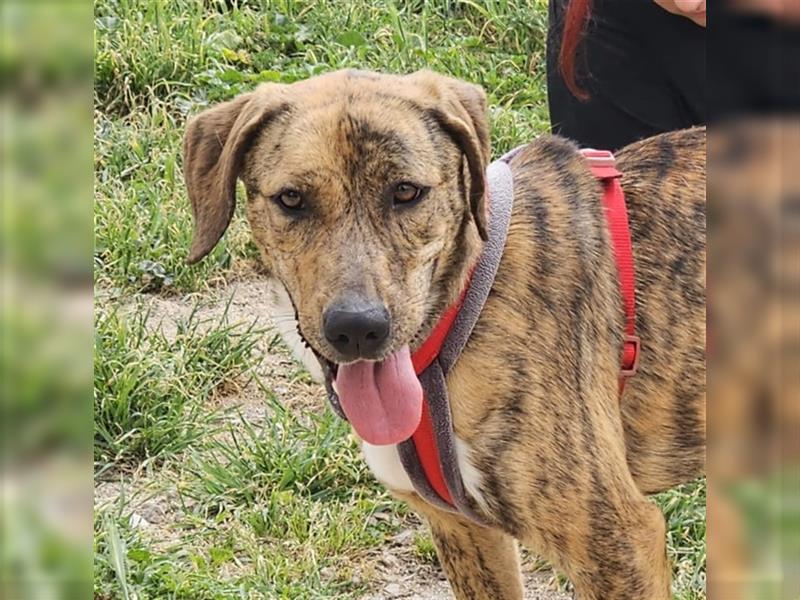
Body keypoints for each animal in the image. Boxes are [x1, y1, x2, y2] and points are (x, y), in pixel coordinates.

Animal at [183, 68, 708, 596]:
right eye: (292, 199)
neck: (458, 318)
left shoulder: (618, 544)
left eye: (406, 192)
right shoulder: (464, 531)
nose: (358, 329)